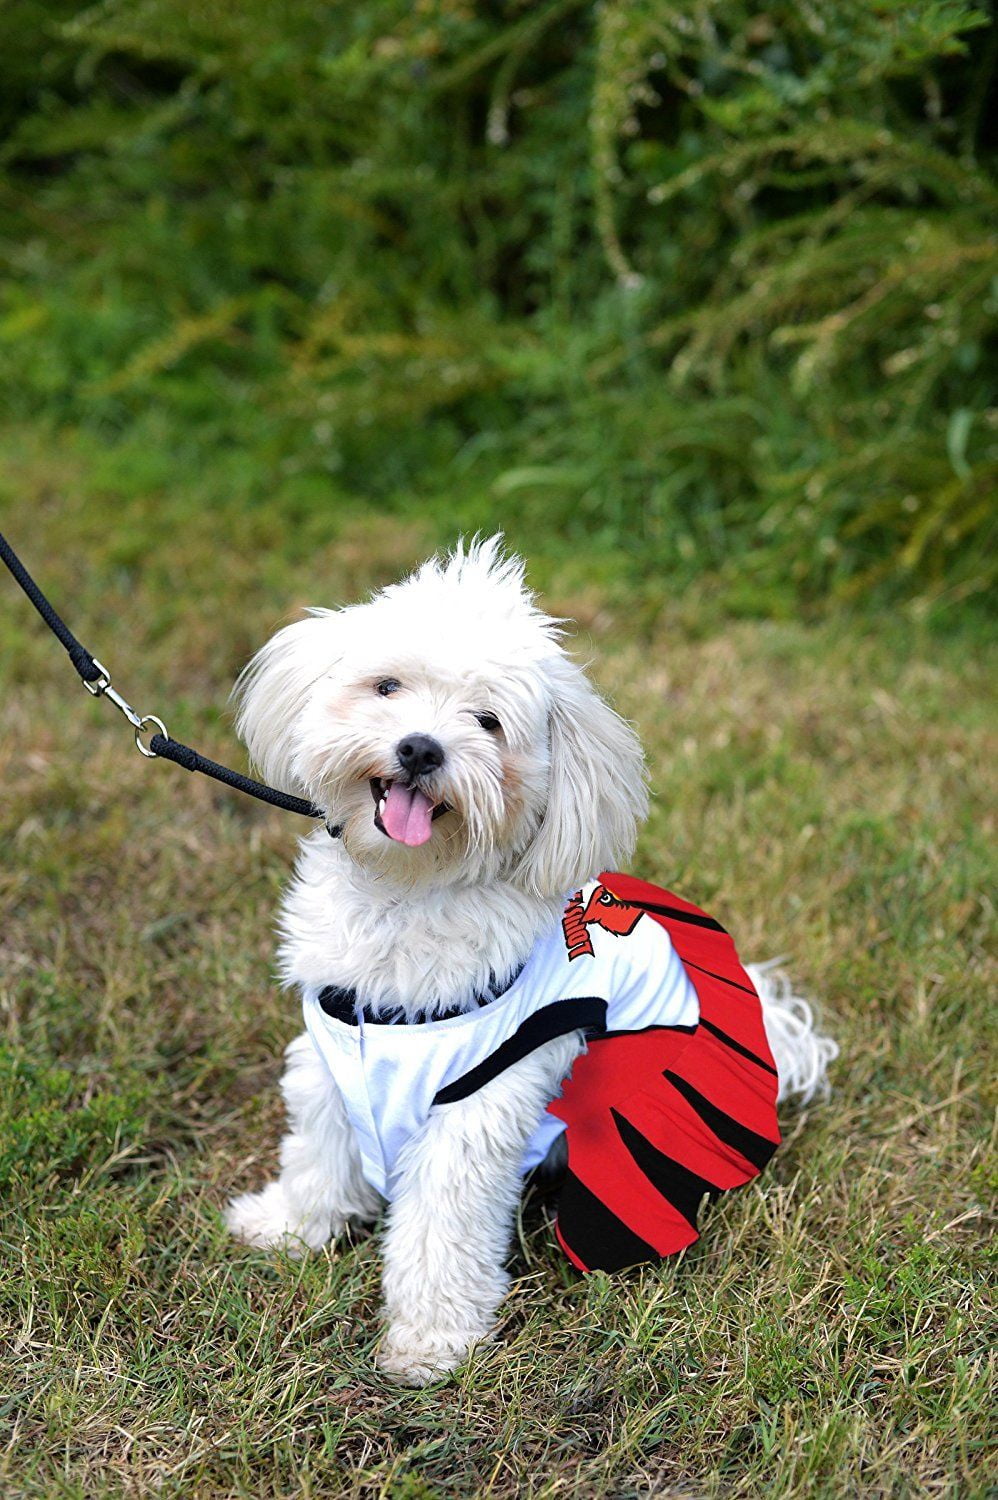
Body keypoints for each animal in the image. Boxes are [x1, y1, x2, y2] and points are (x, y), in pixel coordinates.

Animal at [225, 537, 834, 1380]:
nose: (421, 748)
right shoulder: (329, 1056)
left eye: (488, 722)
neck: (408, 891)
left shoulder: (474, 1106)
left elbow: (441, 1229)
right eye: (388, 686)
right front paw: (290, 1225)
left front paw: (430, 1340)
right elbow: (318, 1151)